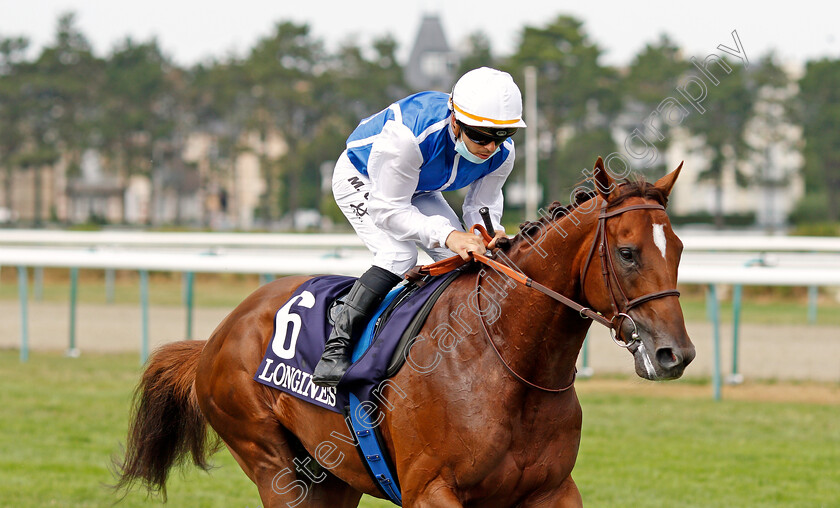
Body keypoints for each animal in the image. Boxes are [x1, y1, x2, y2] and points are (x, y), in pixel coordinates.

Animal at [116, 157, 696, 506]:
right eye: (627, 252)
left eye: (680, 248)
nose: (677, 354)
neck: (509, 365)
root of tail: (218, 335)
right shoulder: (432, 490)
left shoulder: (552, 490)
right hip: (272, 464)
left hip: (332, 477)